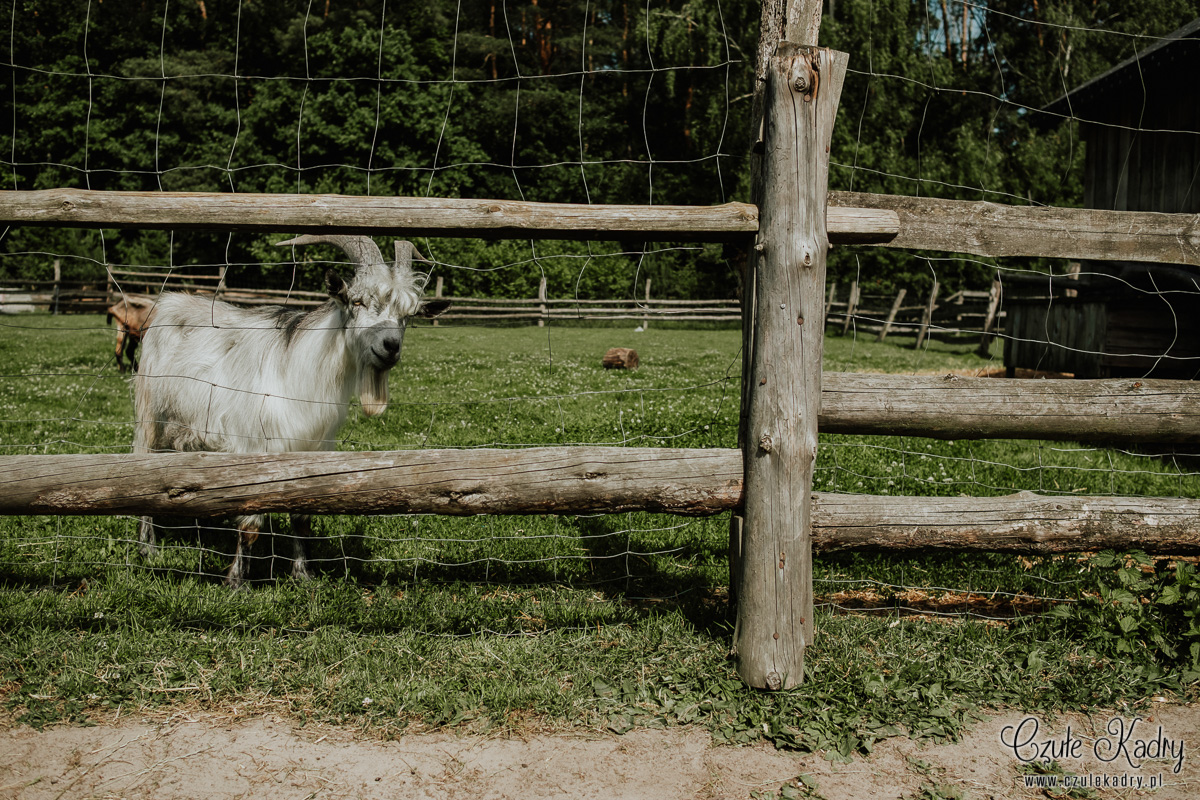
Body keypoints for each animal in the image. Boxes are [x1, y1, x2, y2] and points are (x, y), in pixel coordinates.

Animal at [132, 235, 451, 585]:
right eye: (356, 302)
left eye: (408, 314)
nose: (391, 346)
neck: (300, 373)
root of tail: (169, 301)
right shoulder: (255, 447)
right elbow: (251, 524)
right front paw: (236, 582)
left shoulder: (311, 448)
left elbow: (301, 516)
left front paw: (303, 575)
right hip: (150, 415)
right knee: (144, 471)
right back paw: (147, 548)